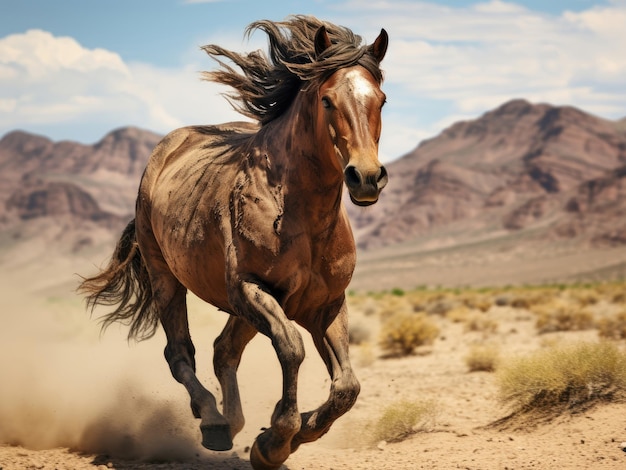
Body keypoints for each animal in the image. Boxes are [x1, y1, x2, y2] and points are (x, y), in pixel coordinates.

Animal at [80, 15, 388, 470]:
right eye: (328, 100)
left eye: (381, 100)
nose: (366, 177)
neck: (296, 210)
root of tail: (164, 151)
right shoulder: (250, 288)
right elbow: (292, 349)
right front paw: (276, 439)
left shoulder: (326, 304)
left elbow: (347, 388)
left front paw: (294, 433)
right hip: (166, 277)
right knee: (181, 353)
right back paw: (213, 421)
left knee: (222, 350)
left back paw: (234, 421)